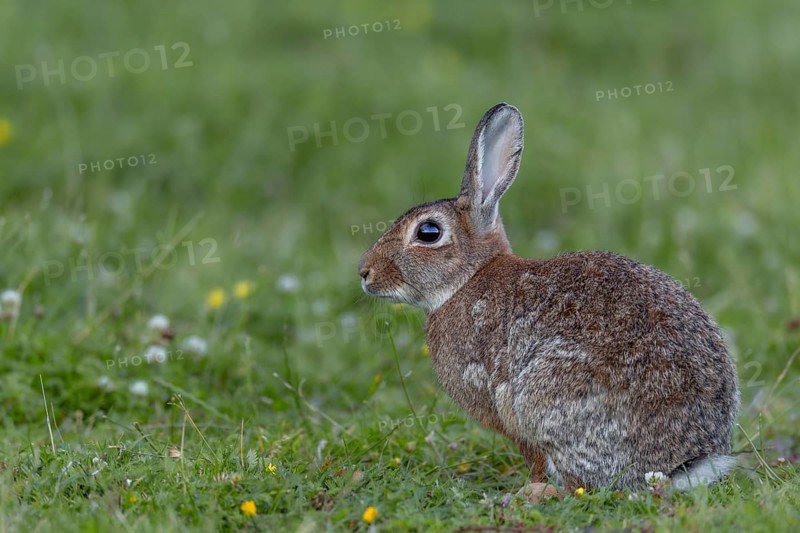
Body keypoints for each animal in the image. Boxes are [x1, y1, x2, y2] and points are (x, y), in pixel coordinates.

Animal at [358, 103, 739, 495]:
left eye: (428, 232)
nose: (365, 272)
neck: (469, 277)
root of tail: (678, 466)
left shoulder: (505, 403)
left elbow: (534, 458)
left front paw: (529, 486)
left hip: (547, 398)